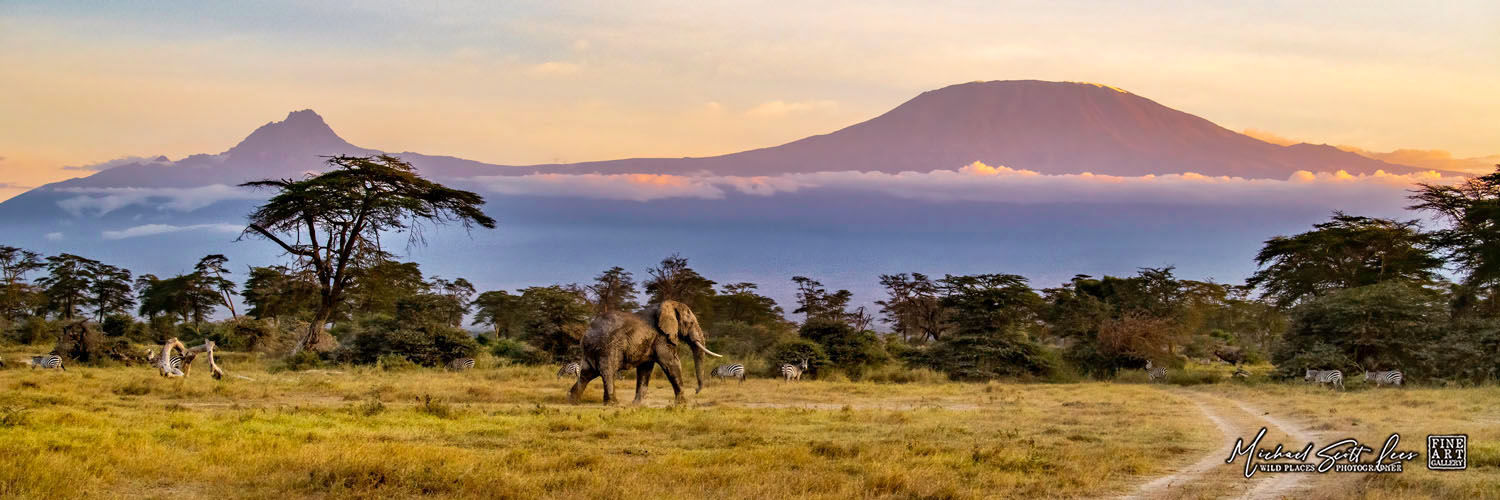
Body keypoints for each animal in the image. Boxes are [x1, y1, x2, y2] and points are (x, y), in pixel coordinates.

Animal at [568, 300, 722, 405]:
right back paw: (613, 404)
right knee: (608, 372)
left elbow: (645, 369)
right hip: (608, 347)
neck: (667, 305)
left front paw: (636, 405)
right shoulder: (661, 337)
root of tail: (587, 333)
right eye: (690, 323)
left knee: (586, 374)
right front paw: (682, 404)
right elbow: (671, 363)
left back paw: (573, 401)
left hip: (591, 350)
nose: (696, 390)